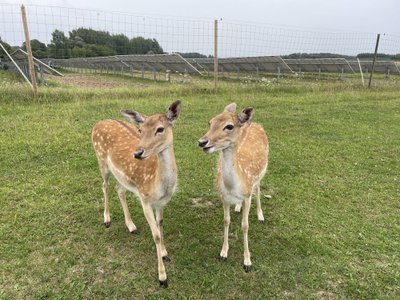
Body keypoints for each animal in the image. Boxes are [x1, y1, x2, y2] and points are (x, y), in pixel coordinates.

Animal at [91, 99, 180, 288]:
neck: (158, 183)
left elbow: (161, 225)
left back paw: (131, 226)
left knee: (119, 190)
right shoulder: (144, 198)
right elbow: (156, 235)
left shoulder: (161, 202)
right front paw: (162, 277)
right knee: (104, 186)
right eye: (140, 130)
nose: (138, 153)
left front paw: (165, 253)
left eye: (160, 129)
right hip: (101, 161)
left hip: (121, 175)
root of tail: (97, 123)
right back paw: (107, 219)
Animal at [198, 102, 268, 272]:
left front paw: (247, 261)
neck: (233, 186)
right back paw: (237, 207)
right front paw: (223, 253)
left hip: (259, 175)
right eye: (210, 122)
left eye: (229, 126)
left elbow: (245, 225)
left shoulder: (247, 194)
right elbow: (226, 221)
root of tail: (253, 123)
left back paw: (260, 215)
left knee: (258, 189)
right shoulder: (223, 196)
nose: (202, 142)